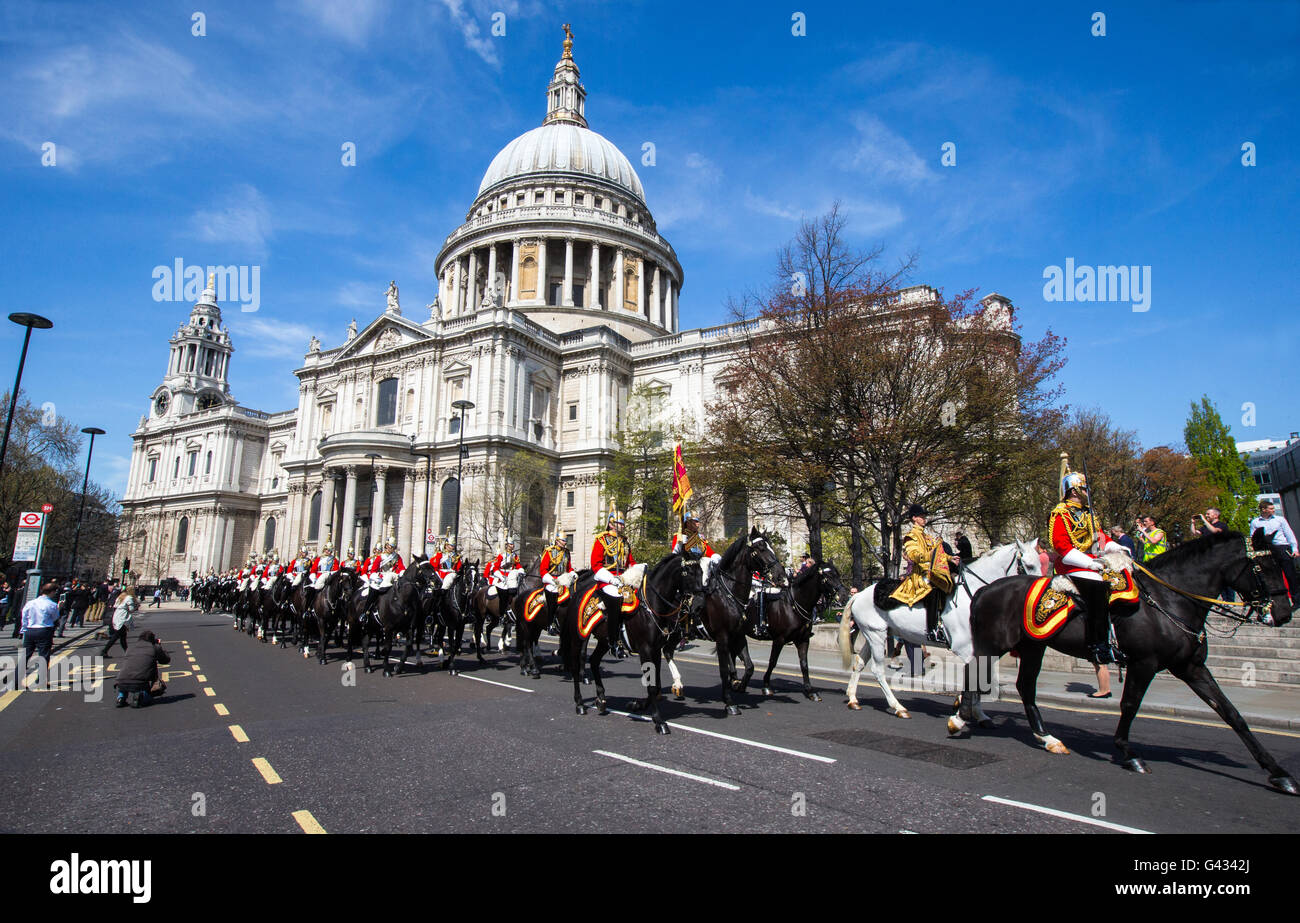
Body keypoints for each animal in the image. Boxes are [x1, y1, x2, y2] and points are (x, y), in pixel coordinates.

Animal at [748, 561, 847, 707]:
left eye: (838, 574)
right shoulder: (779, 639)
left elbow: (804, 665)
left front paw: (810, 691)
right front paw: (766, 685)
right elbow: (772, 661)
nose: (845, 596)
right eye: (827, 576)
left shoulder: (803, 640)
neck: (794, 605)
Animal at [837, 538, 1040, 717]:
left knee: (859, 663)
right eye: (1028, 565)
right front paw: (970, 711)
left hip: (874, 635)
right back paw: (898, 707)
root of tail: (859, 594)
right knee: (877, 670)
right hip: (876, 636)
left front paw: (972, 710)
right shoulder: (964, 647)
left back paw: (853, 699)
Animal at [961, 530, 1294, 800]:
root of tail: (985, 589)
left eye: (1283, 564)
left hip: (1033, 646)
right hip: (996, 644)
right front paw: (1128, 752)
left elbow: (1230, 712)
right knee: (973, 674)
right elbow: (1130, 705)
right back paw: (961, 719)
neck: (1167, 600)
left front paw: (1278, 773)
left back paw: (1045, 737)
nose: (1285, 614)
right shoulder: (1144, 663)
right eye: (1264, 568)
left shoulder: (1190, 667)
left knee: (1023, 686)